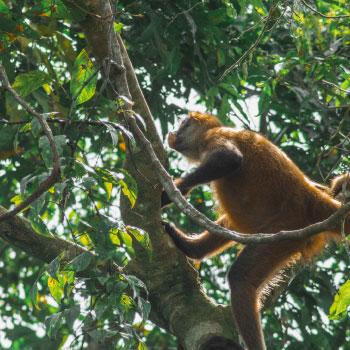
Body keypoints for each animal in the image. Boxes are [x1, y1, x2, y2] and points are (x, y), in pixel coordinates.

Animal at [161, 111, 350, 350]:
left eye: (183, 124)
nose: (173, 132)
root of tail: (310, 199)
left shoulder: (215, 136)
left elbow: (229, 159)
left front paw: (167, 194)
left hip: (282, 233)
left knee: (240, 278)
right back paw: (191, 248)